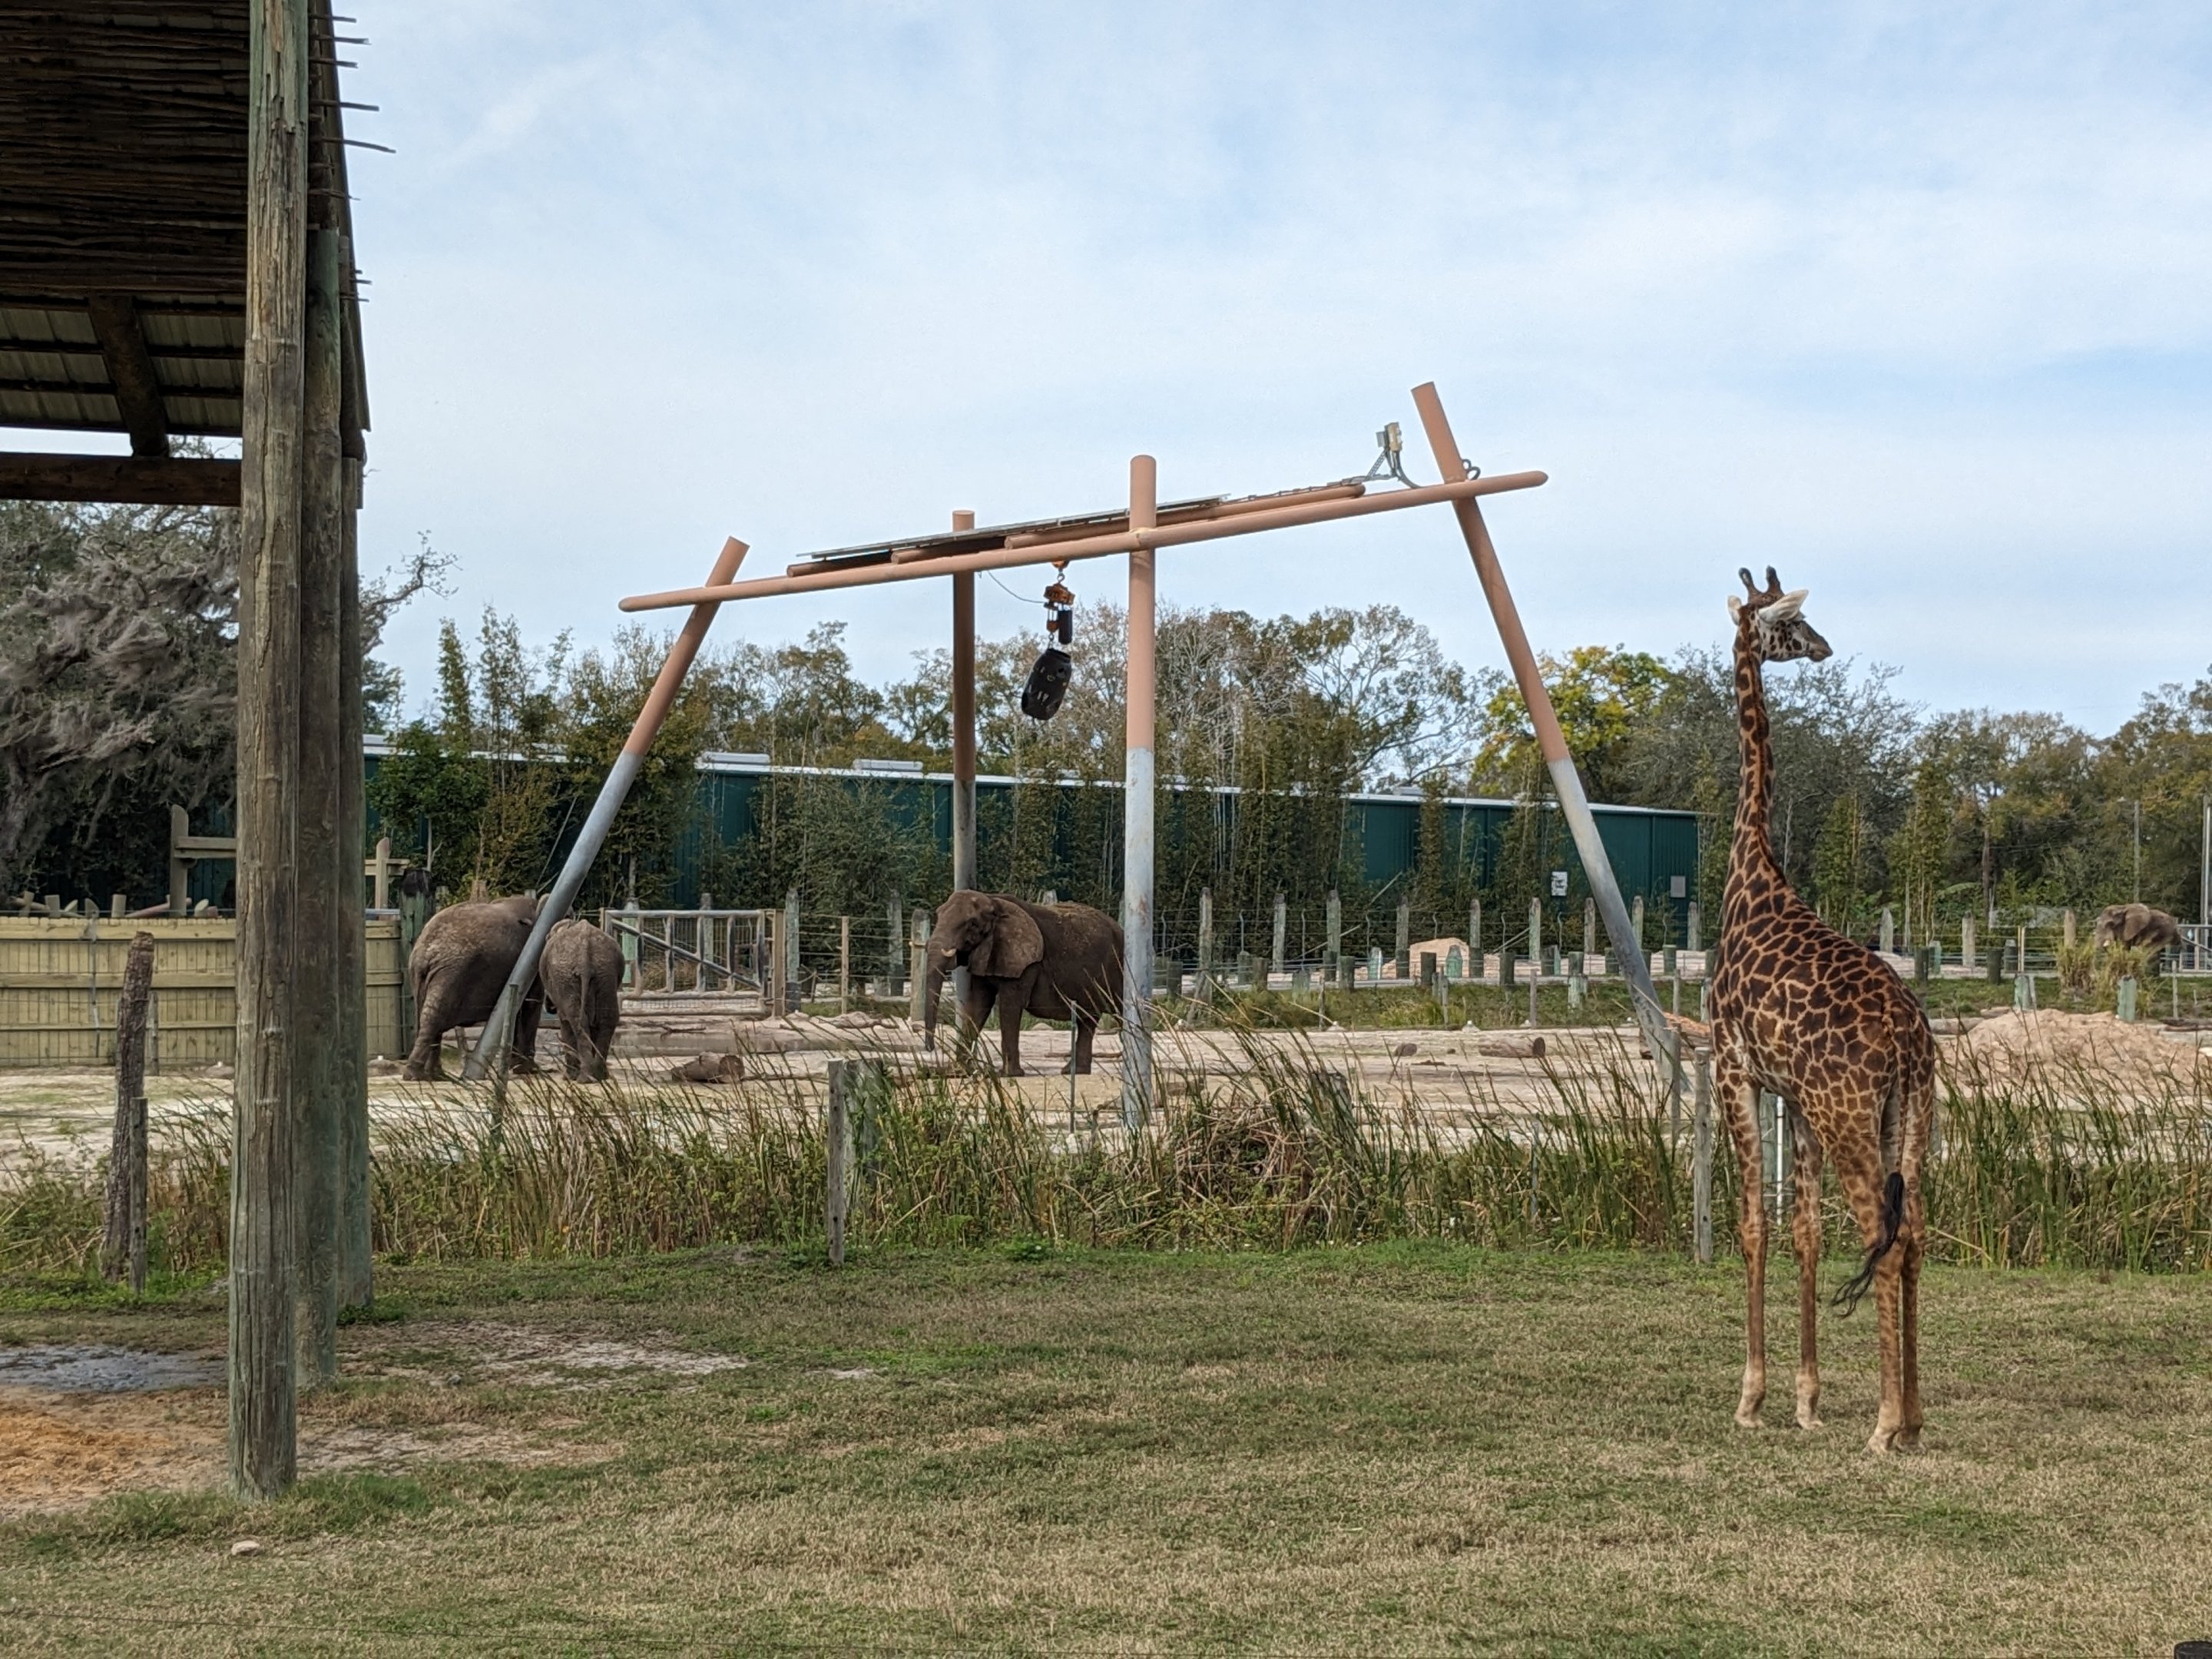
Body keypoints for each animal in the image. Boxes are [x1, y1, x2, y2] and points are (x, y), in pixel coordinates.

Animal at [403, 893, 544, 1080]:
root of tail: (426, 951)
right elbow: (531, 1004)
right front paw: (528, 1070)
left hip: (422, 974)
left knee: (426, 1017)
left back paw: (432, 1075)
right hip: (452, 973)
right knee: (434, 1020)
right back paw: (420, 1076)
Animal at [540, 917, 623, 1082]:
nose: (550, 1007)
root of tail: (585, 958)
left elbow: (565, 1023)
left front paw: (568, 1077)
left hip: (566, 977)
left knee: (576, 1020)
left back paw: (585, 1078)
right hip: (606, 971)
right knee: (608, 1018)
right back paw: (600, 1076)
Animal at [923, 891, 1122, 1076]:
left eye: (972, 924)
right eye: (938, 914)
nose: (930, 1048)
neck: (994, 901)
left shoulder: (1026, 963)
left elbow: (1010, 1006)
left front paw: (1009, 1075)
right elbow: (978, 1005)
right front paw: (959, 1071)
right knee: (1087, 1020)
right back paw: (1074, 1071)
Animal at [1708, 567, 1935, 1454]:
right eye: (1792, 624)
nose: (1825, 647)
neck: (1751, 873)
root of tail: (1910, 1038)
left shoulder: (1731, 1068)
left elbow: (1754, 1225)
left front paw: (1749, 1398)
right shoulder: (1793, 1097)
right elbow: (1802, 1230)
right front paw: (1804, 1400)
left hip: (1850, 1114)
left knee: (1884, 1232)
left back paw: (1882, 1427)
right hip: (1911, 1111)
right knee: (1914, 1233)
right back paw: (1913, 1417)